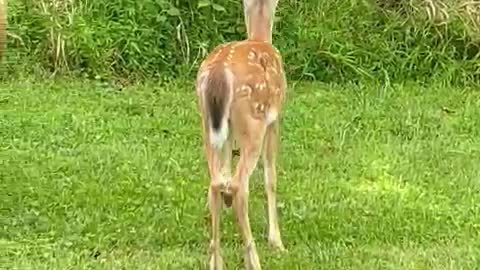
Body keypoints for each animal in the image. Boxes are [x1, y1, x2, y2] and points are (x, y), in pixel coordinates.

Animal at [194, 0, 284, 270]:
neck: (260, 37)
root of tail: (218, 74)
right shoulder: (274, 119)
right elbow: (271, 177)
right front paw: (276, 241)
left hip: (207, 123)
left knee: (216, 181)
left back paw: (215, 261)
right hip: (253, 121)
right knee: (238, 185)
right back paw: (253, 260)